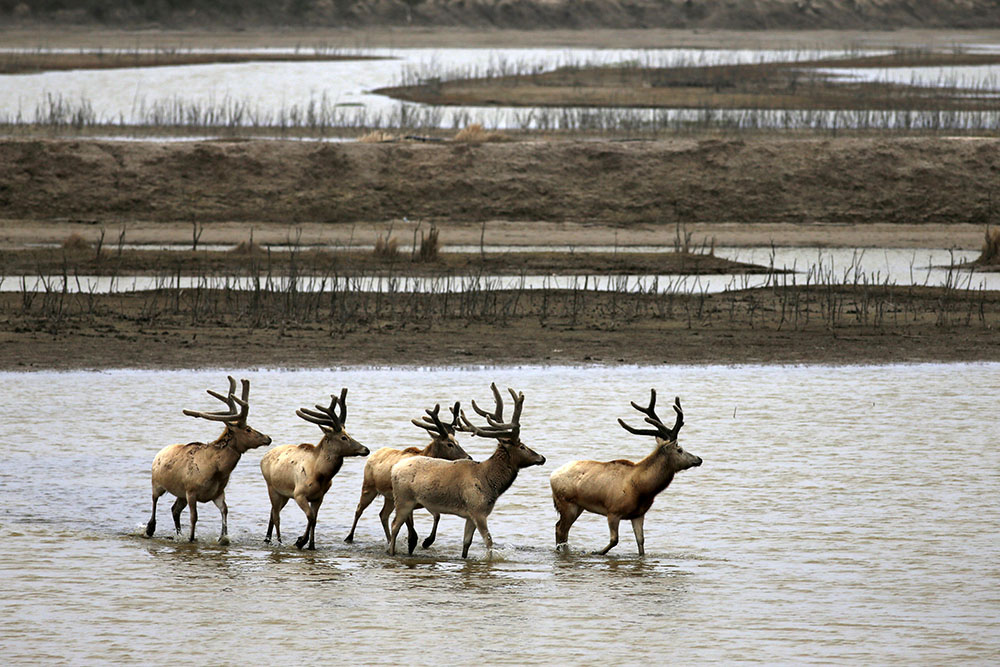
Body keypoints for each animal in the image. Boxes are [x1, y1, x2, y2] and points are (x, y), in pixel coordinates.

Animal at [146, 376, 272, 544]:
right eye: (248, 429)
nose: (268, 438)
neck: (217, 470)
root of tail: (159, 453)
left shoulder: (217, 492)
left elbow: (225, 510)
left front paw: (223, 537)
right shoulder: (191, 491)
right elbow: (194, 517)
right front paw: (192, 538)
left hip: (180, 493)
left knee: (174, 509)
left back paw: (178, 534)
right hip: (157, 483)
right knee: (154, 501)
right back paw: (150, 528)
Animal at [260, 388, 369, 550]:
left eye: (348, 434)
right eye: (344, 437)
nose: (366, 449)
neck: (321, 474)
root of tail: (264, 457)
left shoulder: (319, 497)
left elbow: (315, 519)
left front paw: (311, 545)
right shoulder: (299, 494)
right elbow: (310, 517)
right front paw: (300, 541)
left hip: (283, 493)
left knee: (272, 512)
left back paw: (268, 539)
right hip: (272, 487)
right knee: (276, 515)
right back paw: (279, 541)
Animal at [344, 402, 472, 552]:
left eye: (458, 441)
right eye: (449, 444)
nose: (468, 457)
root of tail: (373, 454)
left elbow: (437, 516)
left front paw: (426, 541)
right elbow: (411, 525)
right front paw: (414, 541)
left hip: (389, 498)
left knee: (383, 514)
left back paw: (389, 541)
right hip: (368, 488)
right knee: (359, 509)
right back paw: (349, 537)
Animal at [388, 383, 545, 558]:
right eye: (522, 446)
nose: (542, 458)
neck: (490, 482)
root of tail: (394, 469)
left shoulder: (470, 516)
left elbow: (466, 544)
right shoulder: (478, 510)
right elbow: (489, 542)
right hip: (404, 499)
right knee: (394, 525)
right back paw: (392, 552)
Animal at [549, 389, 702, 556]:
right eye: (680, 449)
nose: (699, 459)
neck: (643, 489)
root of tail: (552, 475)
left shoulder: (638, 514)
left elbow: (641, 543)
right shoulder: (613, 511)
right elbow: (614, 540)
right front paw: (596, 552)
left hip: (578, 506)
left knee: (561, 529)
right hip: (566, 503)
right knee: (560, 529)